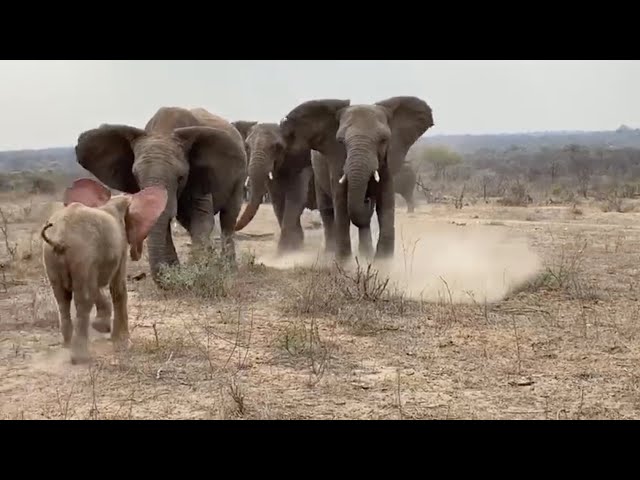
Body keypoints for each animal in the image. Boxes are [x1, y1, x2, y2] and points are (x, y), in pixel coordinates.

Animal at [40, 179, 168, 364]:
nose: (137, 254)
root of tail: (59, 239)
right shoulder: (120, 246)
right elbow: (118, 287)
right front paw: (123, 343)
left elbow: (98, 288)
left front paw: (102, 327)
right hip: (82, 254)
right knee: (83, 299)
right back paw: (80, 358)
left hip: (52, 258)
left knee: (62, 298)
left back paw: (67, 345)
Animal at [73, 107, 248, 284]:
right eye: (135, 176)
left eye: (181, 177)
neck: (163, 130)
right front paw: (179, 272)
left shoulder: (198, 176)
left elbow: (202, 218)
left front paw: (198, 272)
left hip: (239, 179)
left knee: (228, 218)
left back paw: (229, 269)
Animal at [232, 122, 318, 253]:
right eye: (247, 146)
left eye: (277, 147)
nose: (234, 226)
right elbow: (278, 201)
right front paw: (293, 249)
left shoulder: (304, 163)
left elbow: (295, 199)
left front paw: (284, 253)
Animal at [282, 96, 436, 260]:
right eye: (340, 141)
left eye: (384, 140)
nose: (366, 200)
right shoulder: (336, 161)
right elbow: (342, 203)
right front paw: (344, 263)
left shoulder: (388, 160)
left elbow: (385, 203)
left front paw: (383, 263)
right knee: (328, 211)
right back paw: (331, 254)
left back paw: (365, 256)